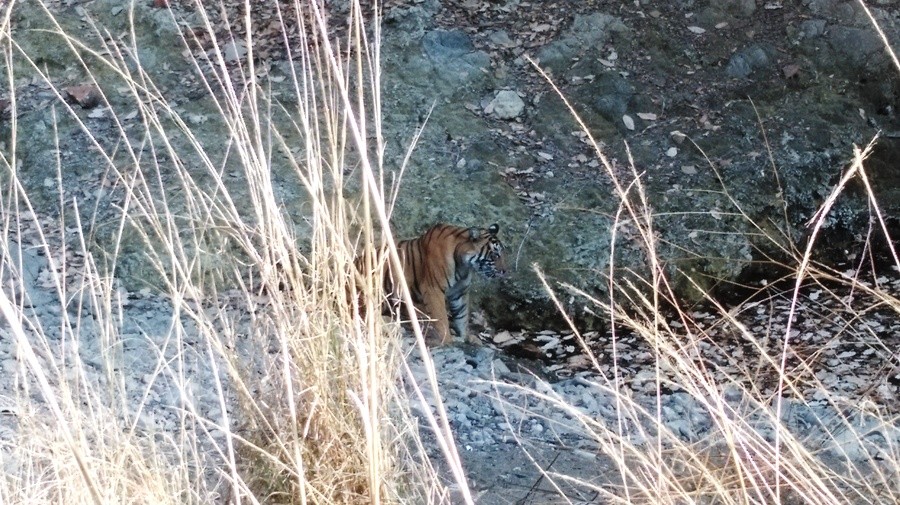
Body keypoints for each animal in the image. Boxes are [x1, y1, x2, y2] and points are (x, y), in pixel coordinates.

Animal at [356, 223, 507, 345]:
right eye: (495, 255)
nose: (505, 271)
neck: (463, 265)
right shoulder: (433, 290)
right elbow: (442, 318)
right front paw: (448, 340)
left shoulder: (460, 292)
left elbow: (462, 316)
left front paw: (467, 337)